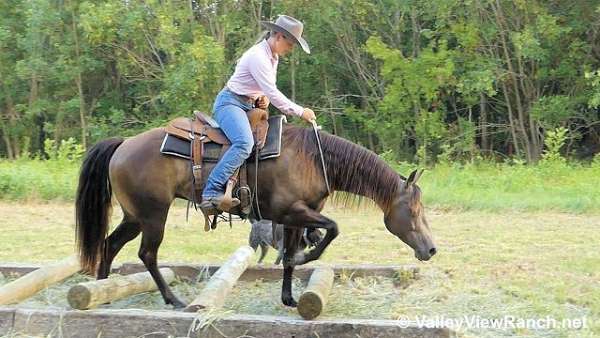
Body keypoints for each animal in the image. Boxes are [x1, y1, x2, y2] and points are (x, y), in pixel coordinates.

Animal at [75, 123, 436, 308]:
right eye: (413, 210)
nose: (431, 249)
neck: (312, 158)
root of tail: (123, 144)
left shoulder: (293, 218)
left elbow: (288, 257)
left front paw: (289, 298)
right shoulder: (295, 212)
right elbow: (332, 229)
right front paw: (308, 257)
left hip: (134, 216)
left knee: (109, 244)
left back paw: (101, 291)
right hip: (153, 216)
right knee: (147, 254)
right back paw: (172, 299)